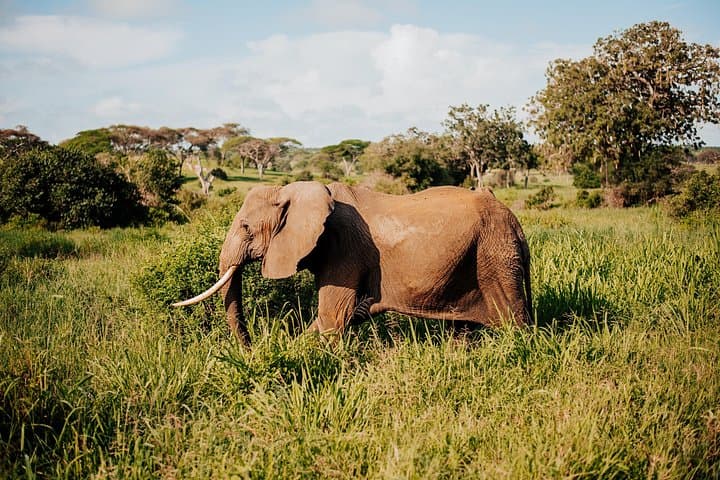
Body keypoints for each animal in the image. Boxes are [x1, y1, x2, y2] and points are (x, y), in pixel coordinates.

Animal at [173, 181, 532, 343]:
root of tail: (517, 225)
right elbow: (334, 317)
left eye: (246, 228)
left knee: (515, 323)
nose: (250, 348)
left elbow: (333, 316)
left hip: (496, 257)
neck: (295, 190)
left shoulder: (344, 250)